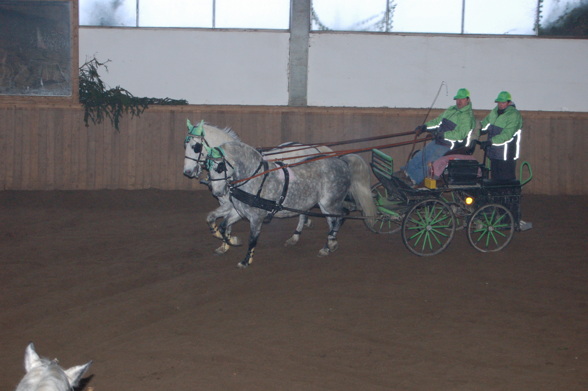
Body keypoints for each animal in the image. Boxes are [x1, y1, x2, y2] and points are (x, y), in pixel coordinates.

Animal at [181, 119, 334, 254]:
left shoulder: (233, 204)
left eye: (196, 147)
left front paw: (229, 241)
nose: (187, 172)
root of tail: (313, 148)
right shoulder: (227, 203)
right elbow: (214, 219)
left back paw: (296, 237)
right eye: (185, 145)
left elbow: (224, 223)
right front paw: (224, 244)